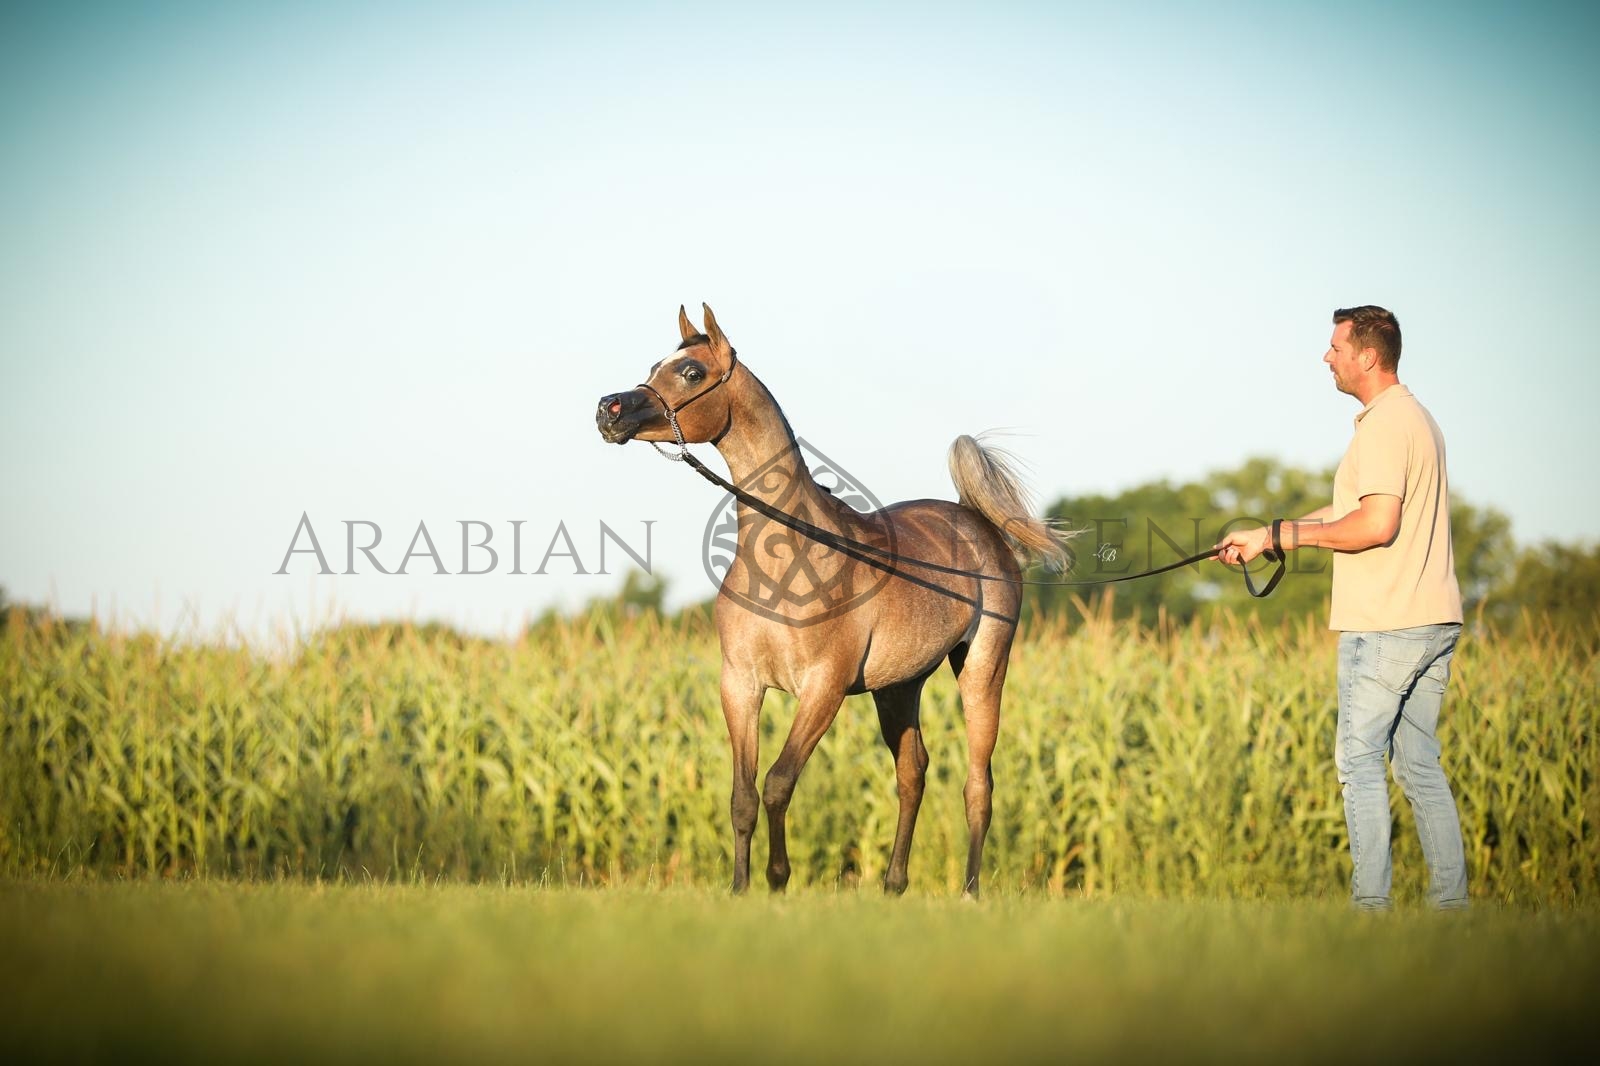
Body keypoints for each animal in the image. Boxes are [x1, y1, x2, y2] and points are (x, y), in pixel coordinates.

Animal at [595, 304, 1066, 897]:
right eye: (654, 366)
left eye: (691, 373)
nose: (608, 410)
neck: (789, 560)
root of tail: (975, 520)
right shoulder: (740, 684)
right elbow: (743, 795)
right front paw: (740, 889)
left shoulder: (824, 687)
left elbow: (778, 781)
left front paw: (778, 879)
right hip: (898, 687)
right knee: (913, 773)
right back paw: (892, 885)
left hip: (983, 669)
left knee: (978, 784)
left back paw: (968, 892)